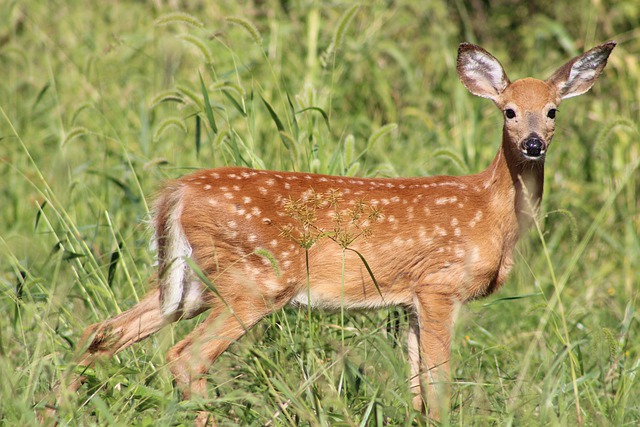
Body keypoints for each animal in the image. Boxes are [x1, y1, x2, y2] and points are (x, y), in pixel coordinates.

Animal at [45, 41, 616, 426]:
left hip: (188, 282)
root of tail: (176, 191)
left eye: (553, 110)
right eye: (509, 111)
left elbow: (416, 385)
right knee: (185, 356)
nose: (535, 144)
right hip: (255, 280)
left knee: (101, 330)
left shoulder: (409, 298)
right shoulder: (439, 284)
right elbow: (438, 382)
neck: (491, 213)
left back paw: (54, 407)